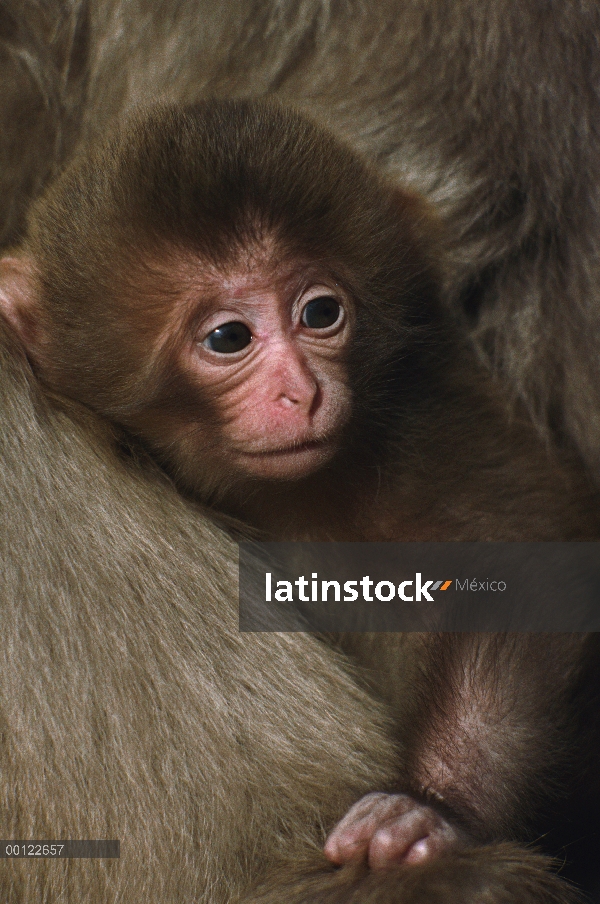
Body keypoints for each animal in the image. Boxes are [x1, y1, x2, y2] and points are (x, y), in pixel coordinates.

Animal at [0, 104, 596, 884]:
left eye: (320, 314)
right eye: (229, 336)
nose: (303, 392)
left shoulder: (427, 426)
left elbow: (527, 558)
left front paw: (432, 807)